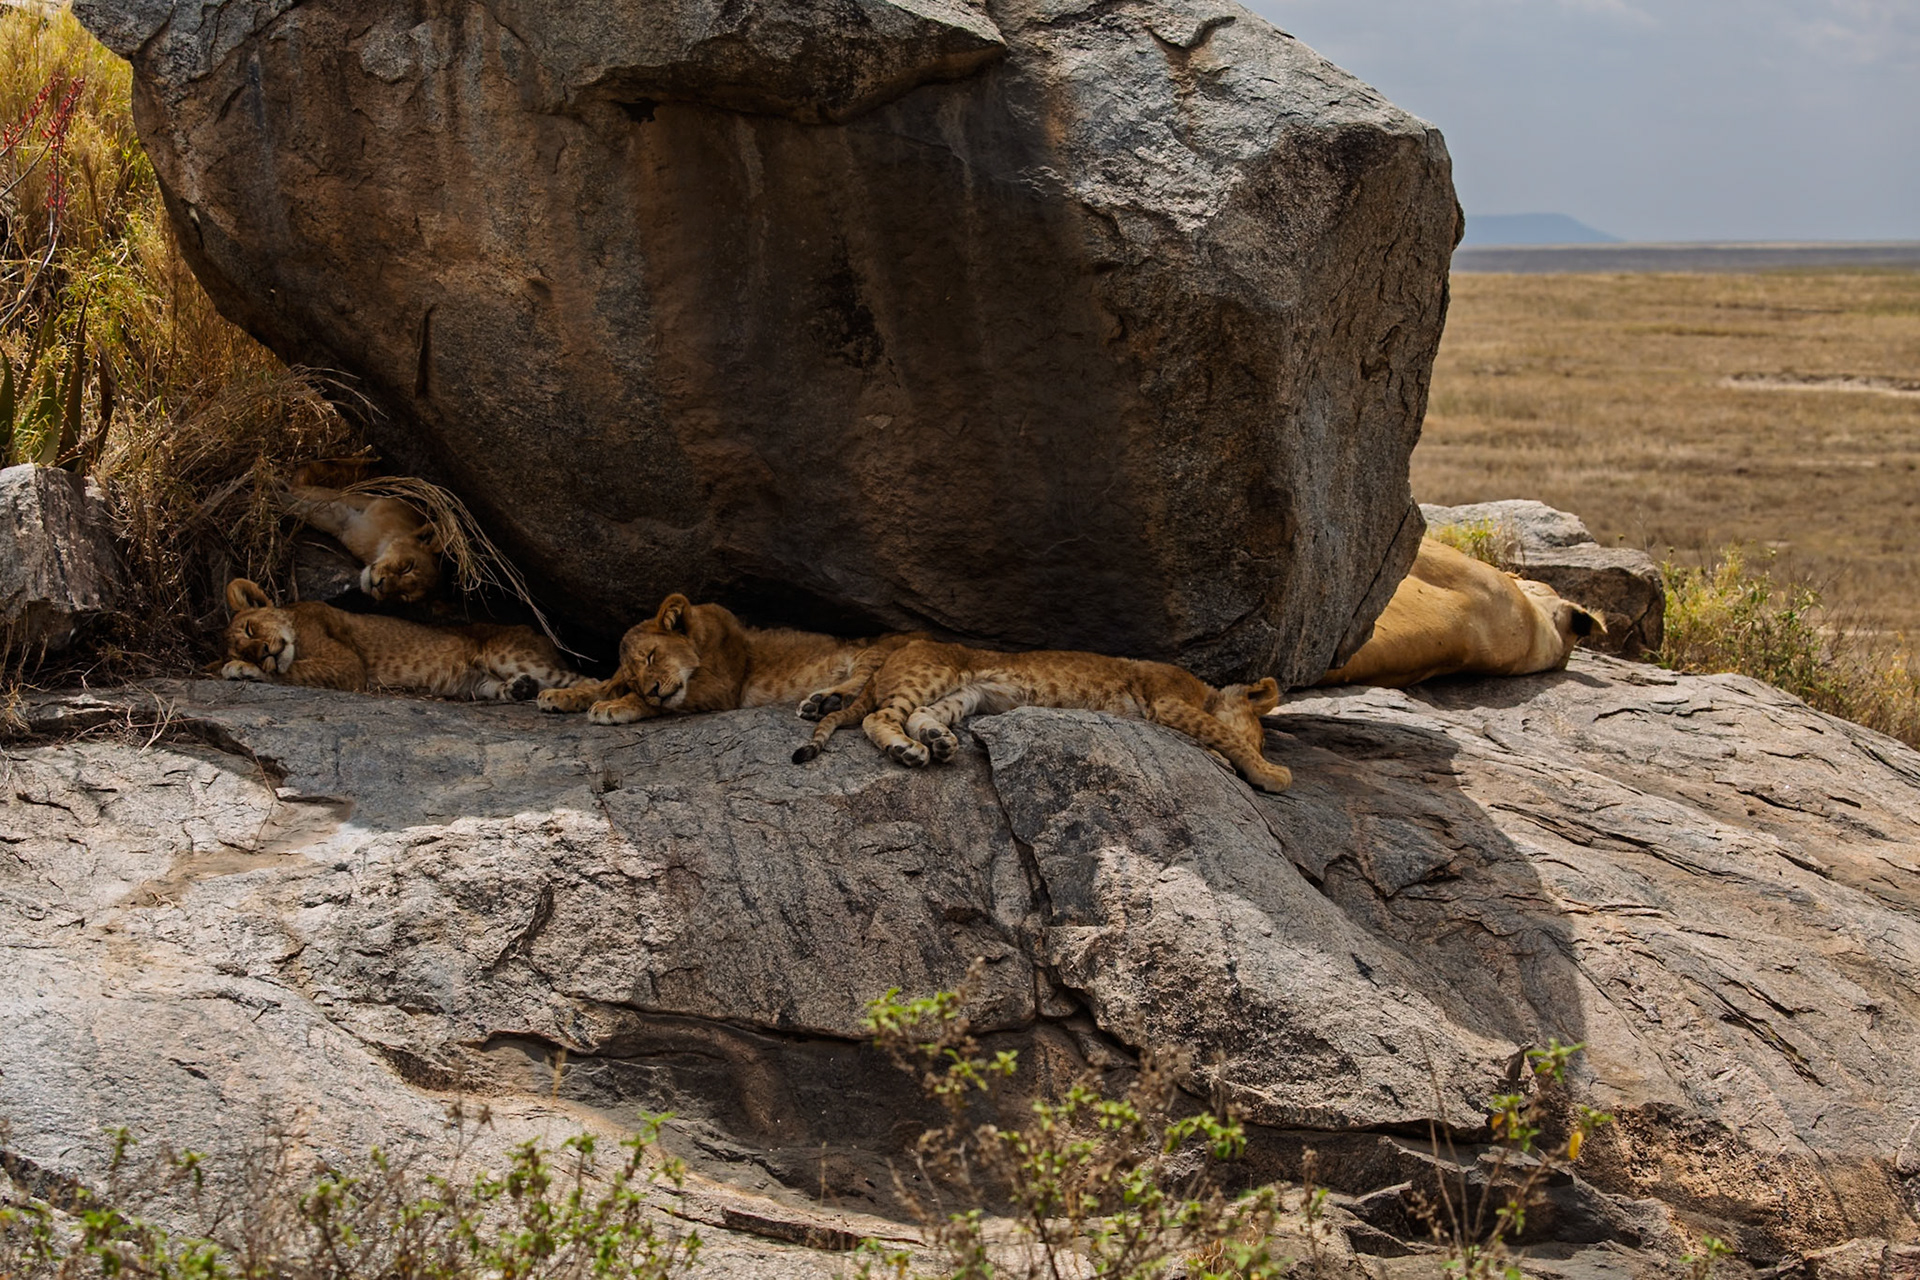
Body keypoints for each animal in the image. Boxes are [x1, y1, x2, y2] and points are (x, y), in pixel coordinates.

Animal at [219, 578, 586, 701]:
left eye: (250, 628)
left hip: (507, 654)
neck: (295, 620)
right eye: (246, 648)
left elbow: (294, 672)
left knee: (587, 679)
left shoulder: (348, 666)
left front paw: (241, 670)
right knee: (494, 688)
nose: (262, 652)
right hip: (475, 682)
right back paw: (519, 689)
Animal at [285, 462, 442, 604]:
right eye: (408, 567)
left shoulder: (346, 524)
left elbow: (315, 509)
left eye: (403, 596)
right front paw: (285, 490)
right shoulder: (373, 500)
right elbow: (324, 494)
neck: (378, 545)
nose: (380, 586)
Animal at [535, 592, 917, 725]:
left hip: (871, 652)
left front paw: (613, 707)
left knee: (863, 681)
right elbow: (602, 684)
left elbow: (657, 704)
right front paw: (558, 695)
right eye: (635, 679)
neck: (701, 639)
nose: (653, 689)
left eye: (652, 656)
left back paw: (824, 702)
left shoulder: (721, 689)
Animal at [793, 639, 1293, 793]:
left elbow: (1217, 736)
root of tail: (901, 645)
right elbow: (1223, 733)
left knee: (918, 714)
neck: (1205, 691)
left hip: (967, 694)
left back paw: (938, 741)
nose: (1269, 753)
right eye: (1264, 739)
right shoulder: (1167, 700)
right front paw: (1272, 772)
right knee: (877, 717)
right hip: (934, 670)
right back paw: (908, 751)